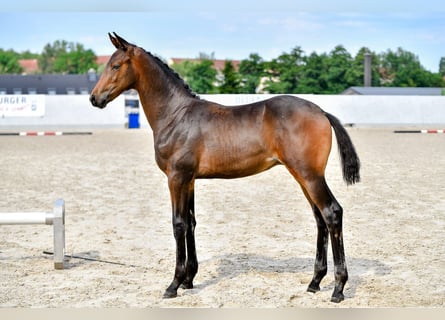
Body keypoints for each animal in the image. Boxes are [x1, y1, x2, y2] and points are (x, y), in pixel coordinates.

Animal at [91, 32, 360, 302]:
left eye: (116, 66)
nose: (94, 98)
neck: (176, 115)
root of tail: (321, 111)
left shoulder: (176, 177)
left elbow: (178, 224)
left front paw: (174, 284)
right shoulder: (189, 180)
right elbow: (190, 223)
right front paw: (189, 279)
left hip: (309, 176)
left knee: (332, 213)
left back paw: (338, 288)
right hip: (304, 177)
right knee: (319, 218)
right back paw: (315, 281)